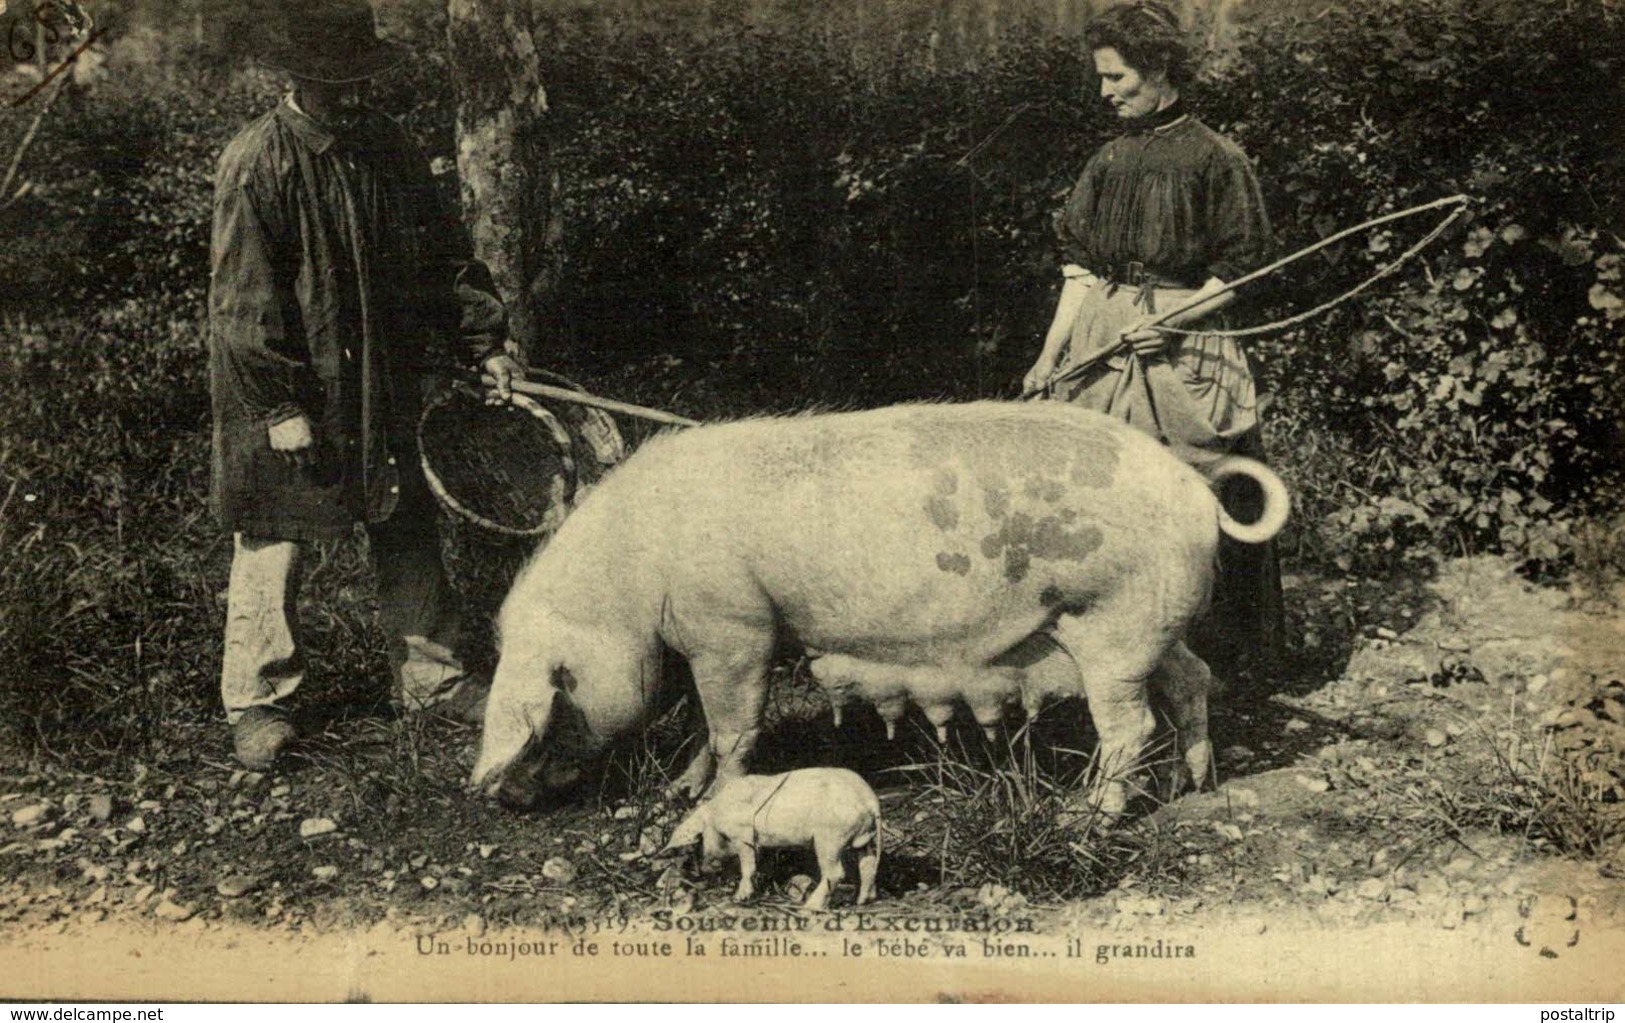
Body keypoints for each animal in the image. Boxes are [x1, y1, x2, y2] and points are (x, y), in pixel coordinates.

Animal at [468, 401, 1280, 818]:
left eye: (555, 698)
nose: (495, 794)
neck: (633, 576)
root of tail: (1191, 485)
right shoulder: (707, 639)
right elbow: (702, 721)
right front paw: (677, 789)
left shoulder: (736, 628)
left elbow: (734, 725)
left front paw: (712, 803)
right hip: (1149, 624)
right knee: (1192, 679)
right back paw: (1189, 786)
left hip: (1108, 620)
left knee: (1131, 723)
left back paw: (1089, 814)